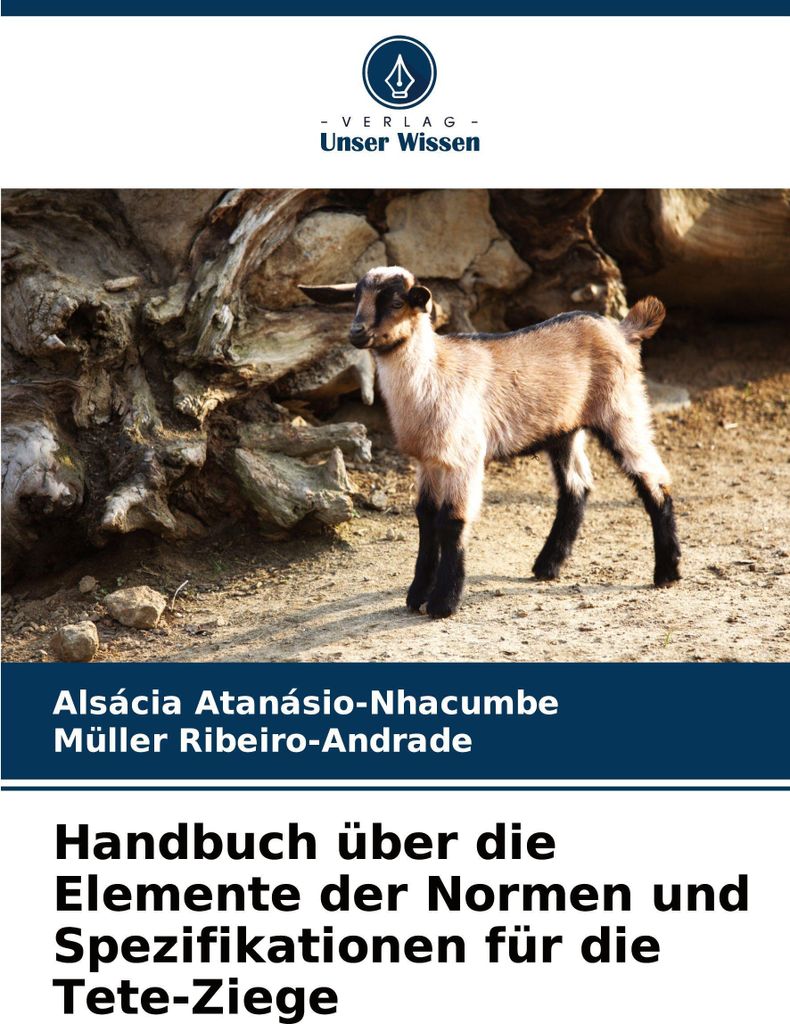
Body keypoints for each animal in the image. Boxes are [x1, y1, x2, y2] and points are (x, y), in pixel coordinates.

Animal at [300, 266, 681, 618]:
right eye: (354, 299)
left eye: (396, 302)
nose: (357, 332)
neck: (434, 372)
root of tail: (622, 329)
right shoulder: (429, 461)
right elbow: (426, 518)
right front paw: (417, 594)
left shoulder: (464, 457)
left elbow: (451, 522)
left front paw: (443, 603)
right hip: (564, 430)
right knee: (576, 487)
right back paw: (547, 566)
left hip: (621, 408)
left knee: (654, 478)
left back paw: (668, 571)